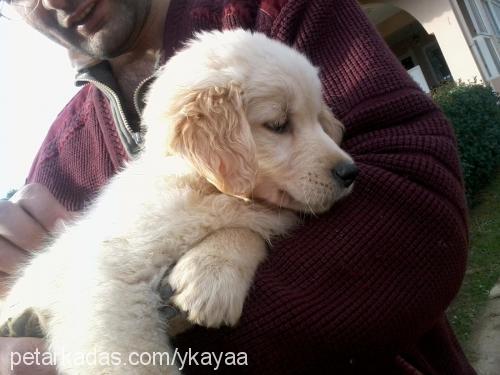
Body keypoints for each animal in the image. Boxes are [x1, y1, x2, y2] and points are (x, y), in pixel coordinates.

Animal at [1, 30, 358, 375]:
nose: (350, 172)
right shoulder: (109, 285)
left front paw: (211, 278)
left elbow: (247, 230)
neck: (204, 189)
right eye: (278, 125)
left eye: (317, 119)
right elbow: (133, 360)